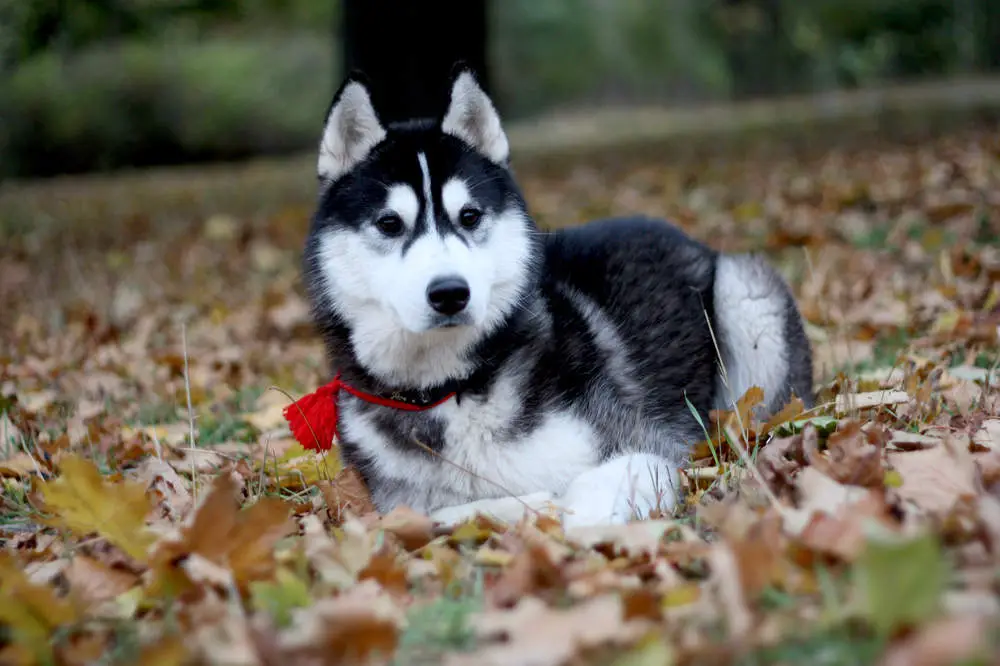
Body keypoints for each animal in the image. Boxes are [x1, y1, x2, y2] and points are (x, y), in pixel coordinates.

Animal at [298, 66, 812, 524]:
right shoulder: (399, 503)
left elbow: (582, 507)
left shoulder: (644, 445)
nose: (450, 293)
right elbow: (447, 513)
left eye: (469, 216)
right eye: (389, 223)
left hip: (746, 295)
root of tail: (684, 235)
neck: (451, 389)